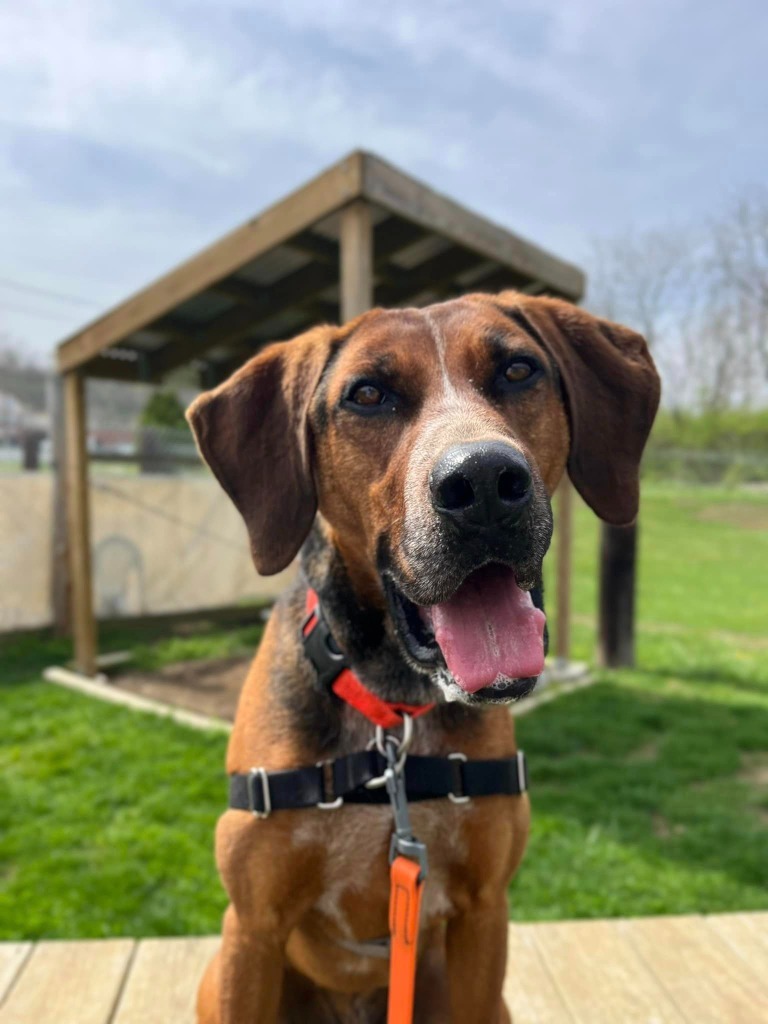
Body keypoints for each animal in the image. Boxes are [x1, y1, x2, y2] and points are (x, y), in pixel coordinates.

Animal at [186, 290, 663, 1024]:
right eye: (368, 394)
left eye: (518, 370)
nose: (485, 480)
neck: (395, 711)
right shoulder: (253, 925)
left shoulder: (483, 915)